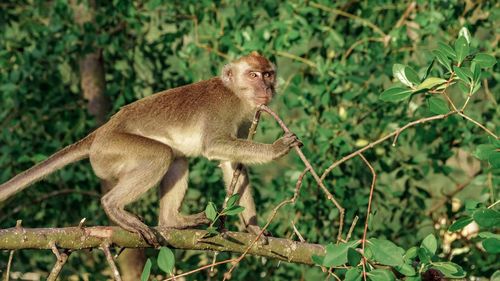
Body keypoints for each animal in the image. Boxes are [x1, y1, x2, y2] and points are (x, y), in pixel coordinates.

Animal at [0, 51, 298, 244]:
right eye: (253, 74)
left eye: (268, 74)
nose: (267, 88)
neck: (235, 92)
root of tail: (100, 133)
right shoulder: (223, 110)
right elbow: (215, 146)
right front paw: (276, 148)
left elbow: (232, 163)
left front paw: (253, 228)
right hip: (112, 150)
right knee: (161, 155)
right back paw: (114, 208)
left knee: (177, 160)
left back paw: (173, 221)